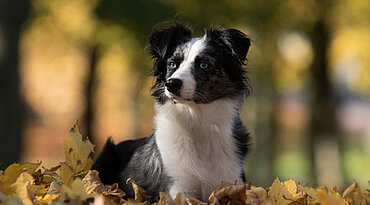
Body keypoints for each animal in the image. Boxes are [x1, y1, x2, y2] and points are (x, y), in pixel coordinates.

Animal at [94, 23, 253, 202]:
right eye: (172, 64)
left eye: (204, 64)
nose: (171, 84)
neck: (197, 119)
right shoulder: (177, 186)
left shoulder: (232, 183)